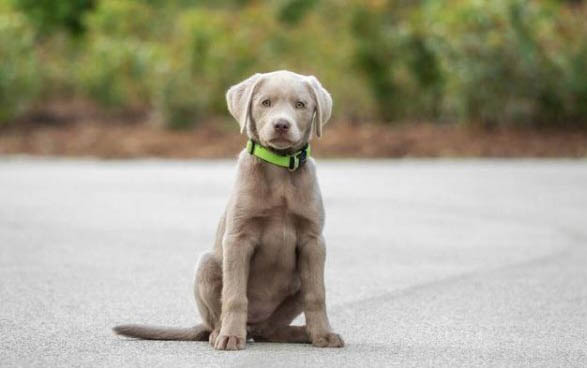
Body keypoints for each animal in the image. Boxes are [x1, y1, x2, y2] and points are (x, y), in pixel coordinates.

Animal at [113, 69, 344, 350]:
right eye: (265, 102)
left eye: (300, 105)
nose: (281, 125)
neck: (278, 169)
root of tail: (253, 326)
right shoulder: (237, 238)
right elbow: (235, 295)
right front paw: (231, 337)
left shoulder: (313, 241)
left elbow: (317, 294)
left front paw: (323, 334)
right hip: (207, 265)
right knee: (219, 317)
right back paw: (222, 332)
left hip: (295, 282)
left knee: (270, 330)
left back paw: (300, 333)